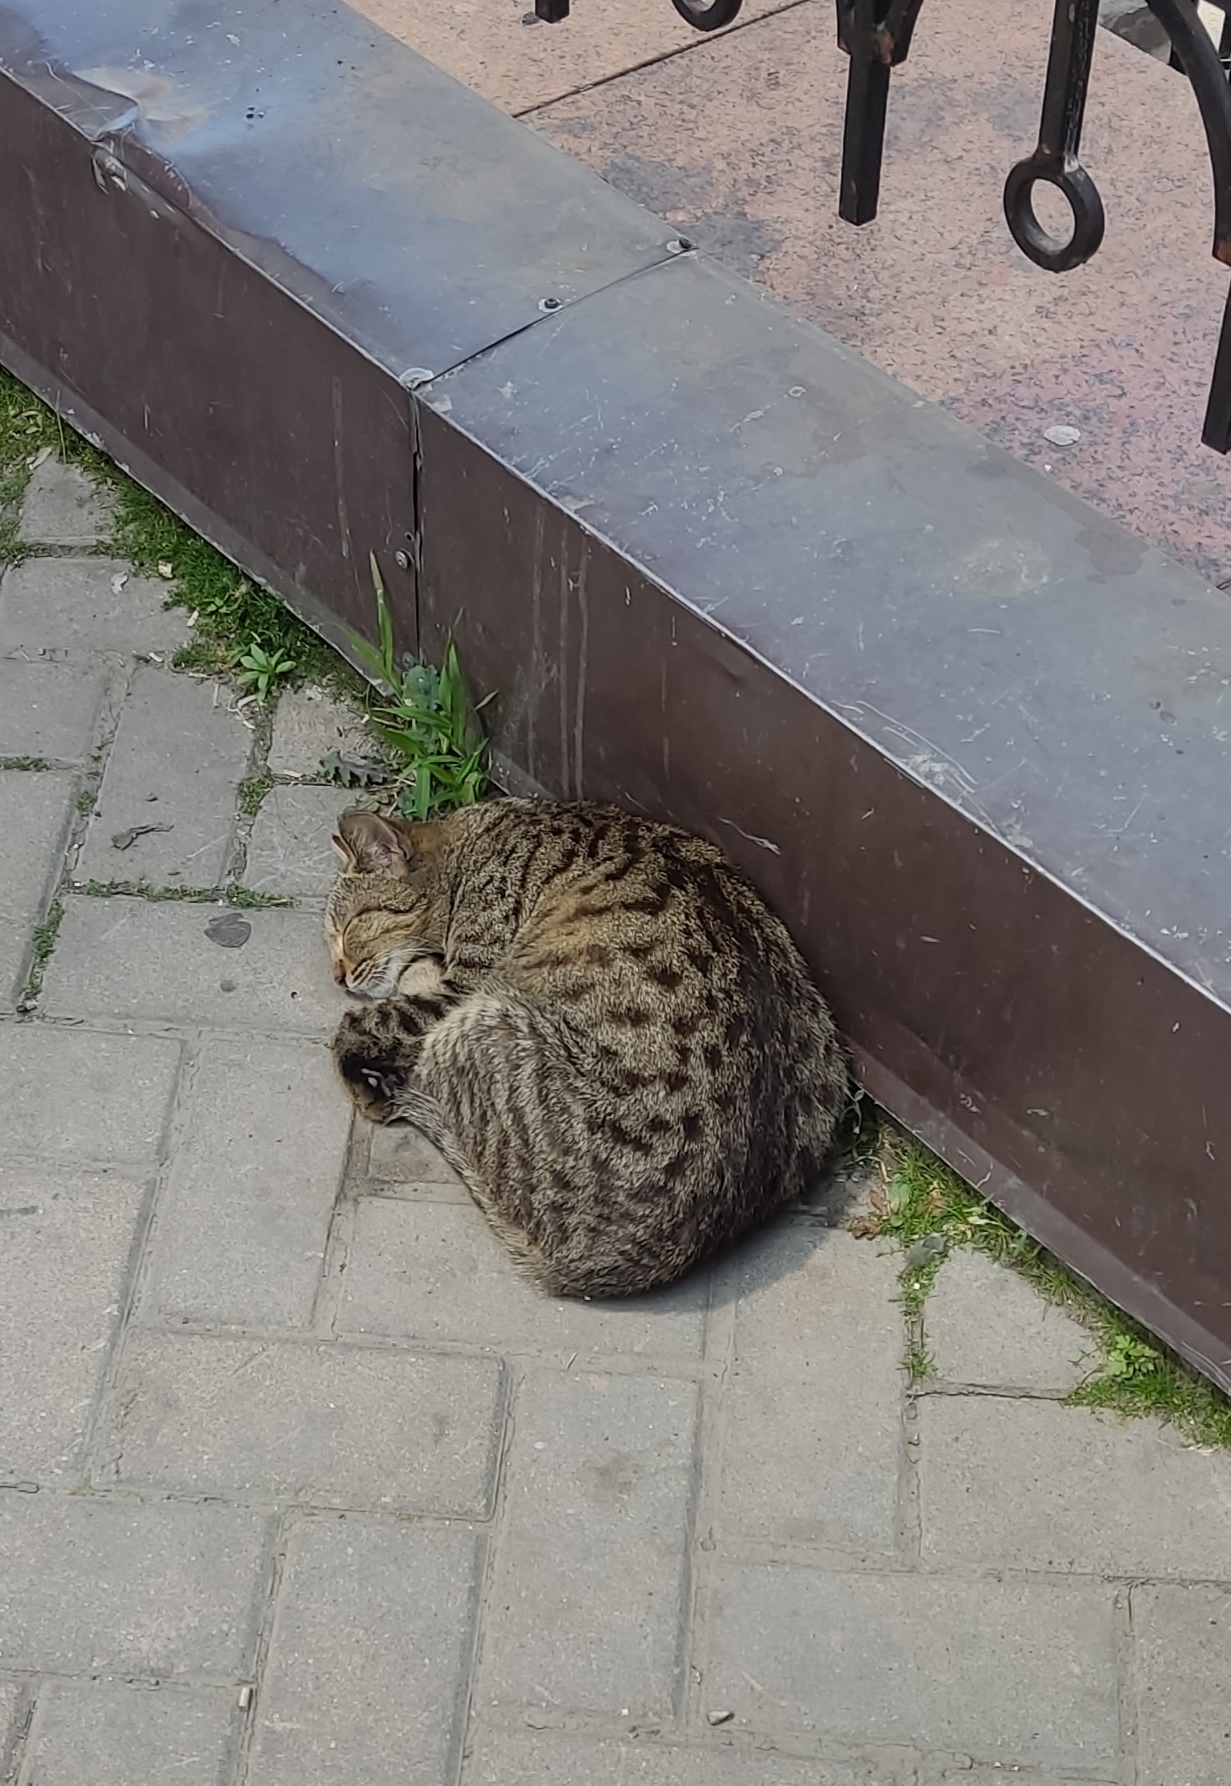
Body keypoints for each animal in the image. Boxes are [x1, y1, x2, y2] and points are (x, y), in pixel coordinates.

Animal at [326, 800, 843, 1300]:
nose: (337, 976)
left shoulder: (466, 983)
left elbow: (363, 1023)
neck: (476, 841)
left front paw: (363, 1068)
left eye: (348, 928)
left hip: (482, 1014)